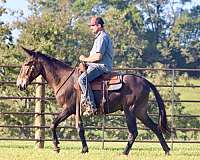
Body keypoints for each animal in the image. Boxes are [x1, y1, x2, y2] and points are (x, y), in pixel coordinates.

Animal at [16, 47, 171, 155]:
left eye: (27, 64)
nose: (20, 84)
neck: (63, 79)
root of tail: (145, 81)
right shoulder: (76, 111)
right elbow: (80, 128)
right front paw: (84, 149)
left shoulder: (68, 108)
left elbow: (53, 124)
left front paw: (56, 147)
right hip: (140, 111)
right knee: (155, 128)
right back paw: (167, 150)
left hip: (130, 111)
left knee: (134, 132)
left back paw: (124, 153)